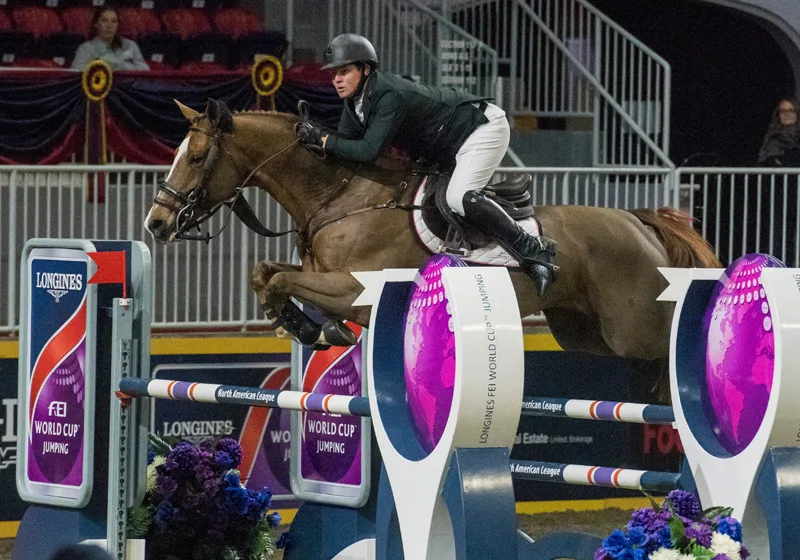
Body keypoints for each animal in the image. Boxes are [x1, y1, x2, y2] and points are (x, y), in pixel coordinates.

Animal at [145, 100, 724, 372]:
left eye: (196, 157)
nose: (155, 223)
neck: (338, 197)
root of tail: (638, 221)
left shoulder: (357, 289)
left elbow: (282, 281)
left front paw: (307, 325)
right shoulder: (322, 276)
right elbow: (267, 274)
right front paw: (310, 327)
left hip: (633, 329)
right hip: (584, 333)